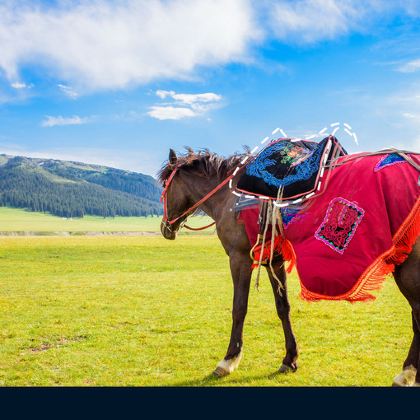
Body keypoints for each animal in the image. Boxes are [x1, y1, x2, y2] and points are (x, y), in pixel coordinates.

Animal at [158, 148, 420, 388]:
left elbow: (239, 308)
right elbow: (283, 307)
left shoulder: (239, 258)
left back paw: (406, 374)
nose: (165, 228)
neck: (230, 196)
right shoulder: (274, 259)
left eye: (164, 187)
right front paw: (290, 359)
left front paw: (229, 360)